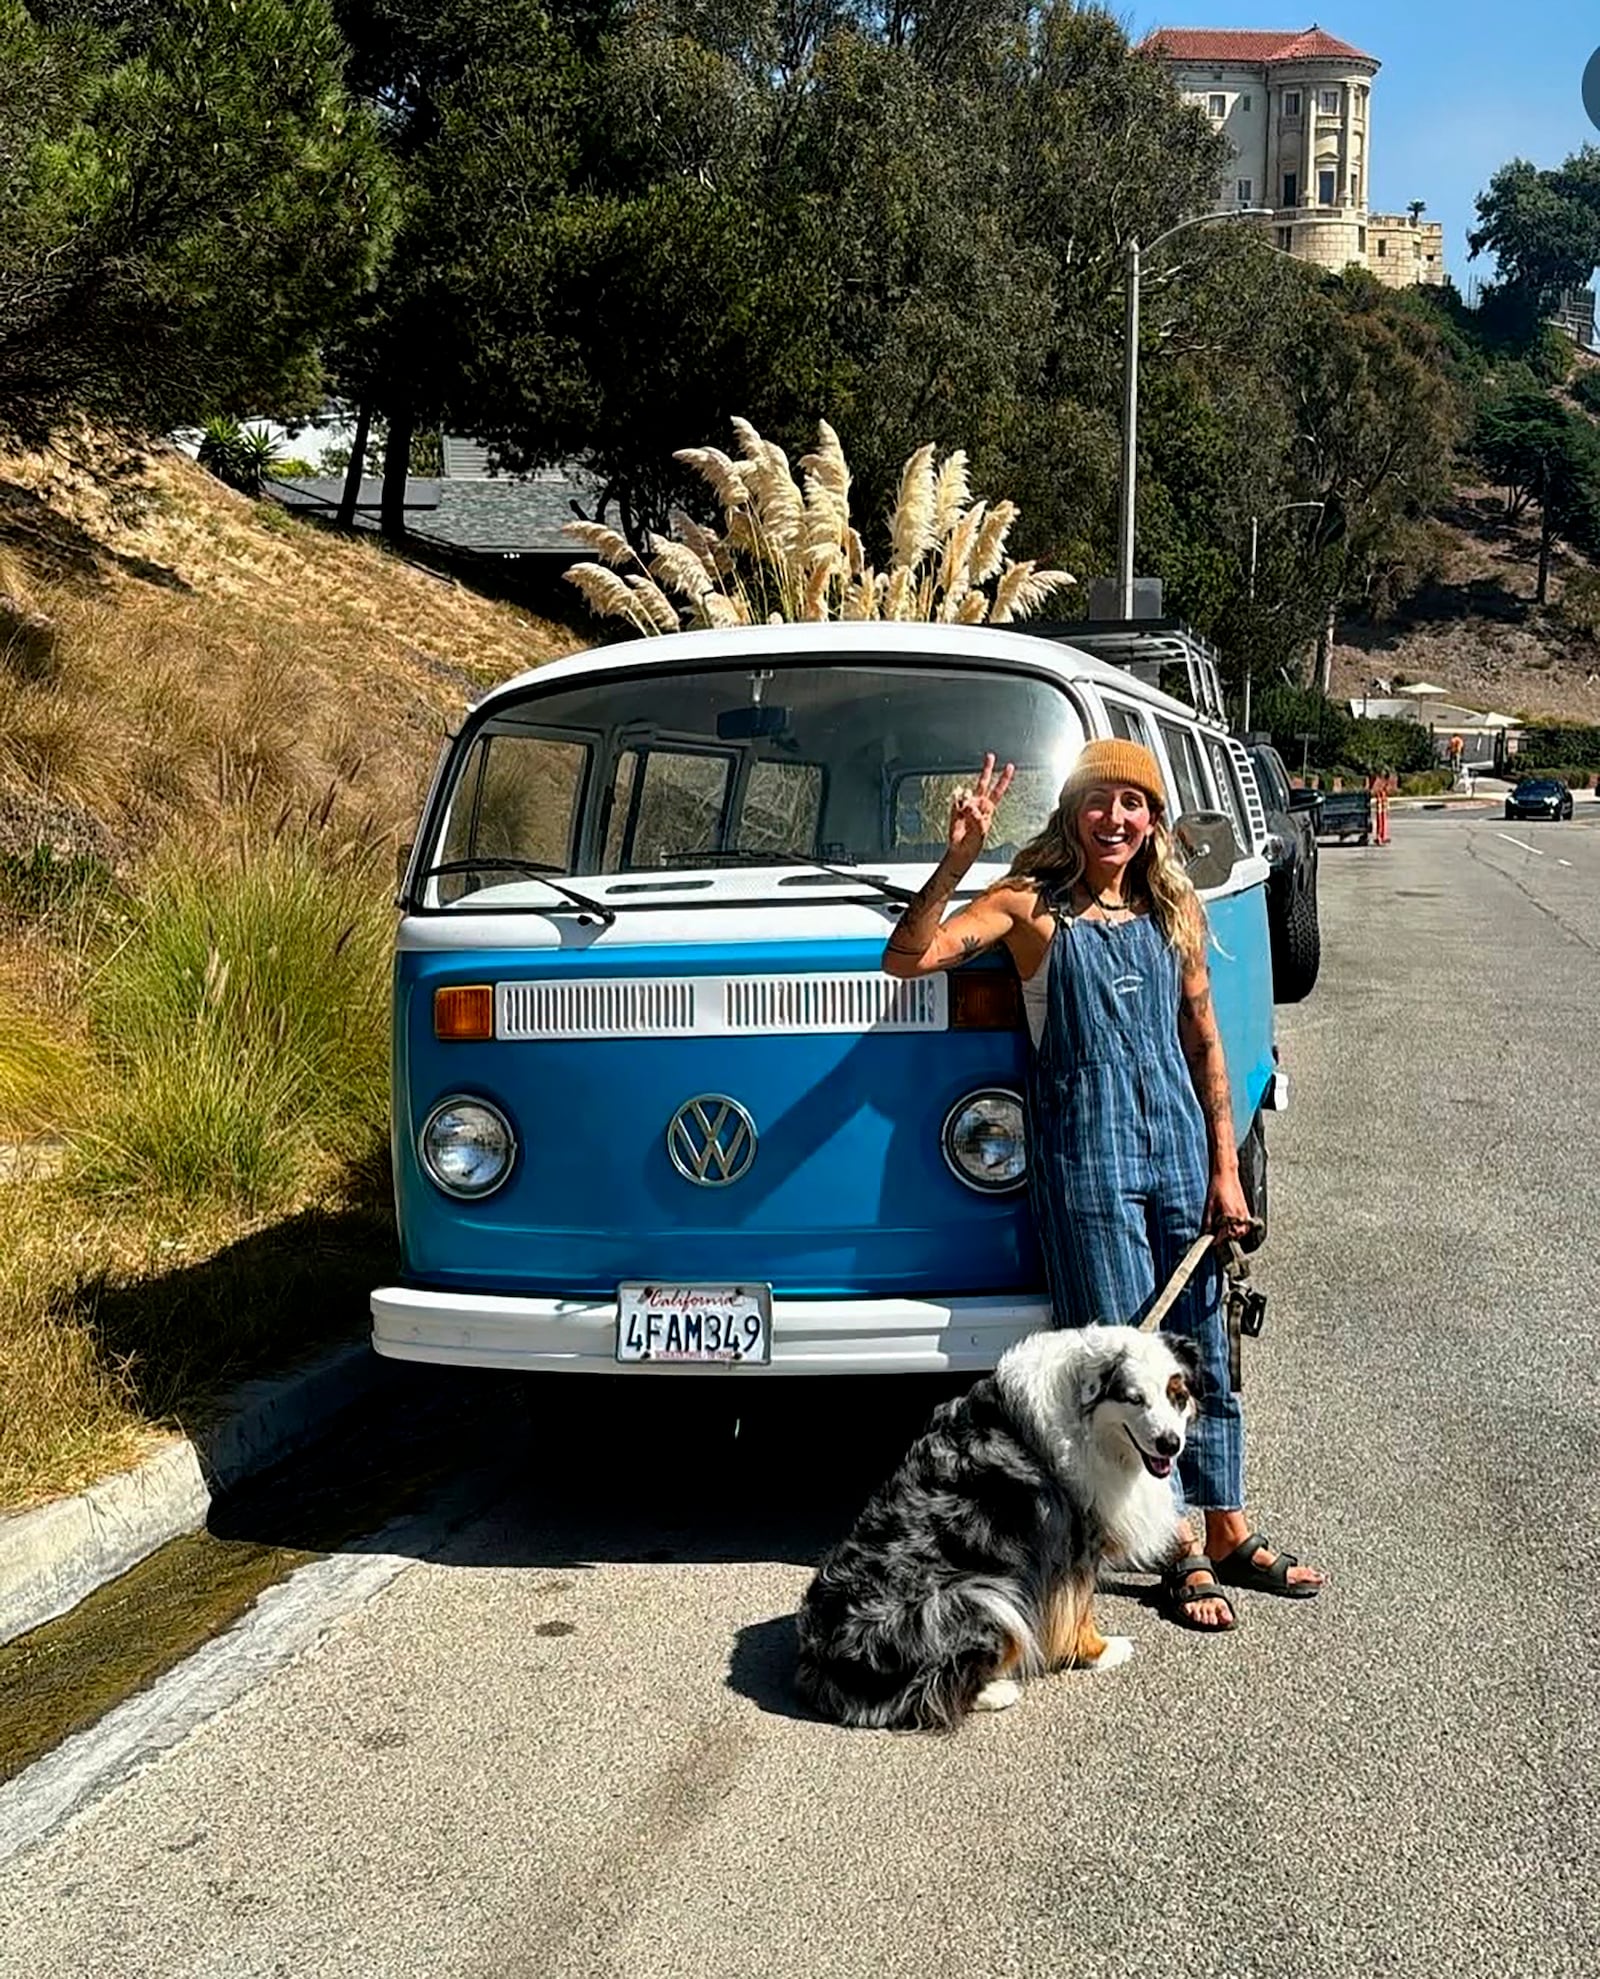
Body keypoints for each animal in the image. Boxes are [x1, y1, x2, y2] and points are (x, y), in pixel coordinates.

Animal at [792, 1329, 1196, 1733]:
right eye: (1134, 1398)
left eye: (1177, 1395)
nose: (1170, 1443)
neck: (1085, 1419)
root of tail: (821, 1663)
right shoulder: (1075, 1544)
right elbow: (1080, 1608)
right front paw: (1101, 1651)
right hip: (979, 1599)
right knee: (929, 1693)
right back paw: (997, 1691)